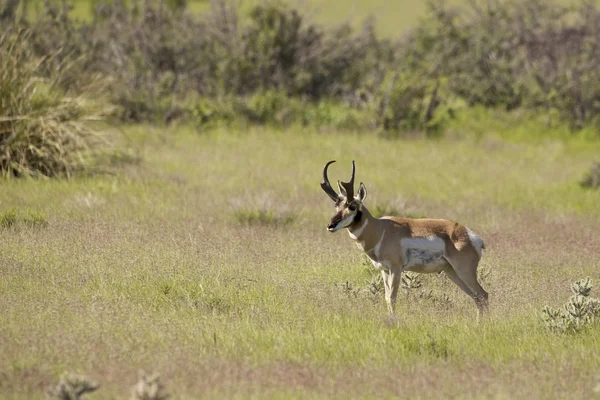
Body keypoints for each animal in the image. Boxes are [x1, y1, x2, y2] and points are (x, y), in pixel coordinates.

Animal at [318, 161, 488, 314]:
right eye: (336, 206)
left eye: (352, 206)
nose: (330, 225)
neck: (380, 229)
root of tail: (470, 235)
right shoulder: (384, 271)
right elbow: (387, 298)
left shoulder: (396, 268)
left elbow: (392, 298)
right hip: (452, 272)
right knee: (477, 298)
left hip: (463, 270)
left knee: (482, 295)